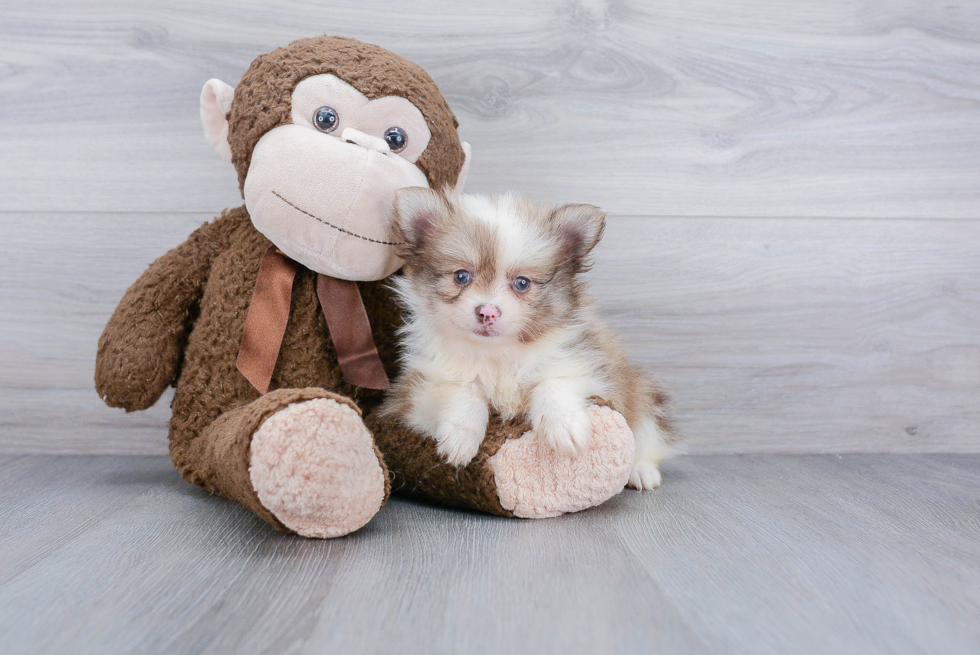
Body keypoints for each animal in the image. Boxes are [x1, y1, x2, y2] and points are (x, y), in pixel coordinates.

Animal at [378, 187, 676, 490]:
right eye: (461, 276)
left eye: (522, 283)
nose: (488, 312)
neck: (497, 354)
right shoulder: (415, 390)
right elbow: (463, 390)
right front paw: (461, 435)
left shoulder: (591, 368)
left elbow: (553, 382)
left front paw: (565, 426)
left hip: (643, 395)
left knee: (648, 437)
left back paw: (641, 471)